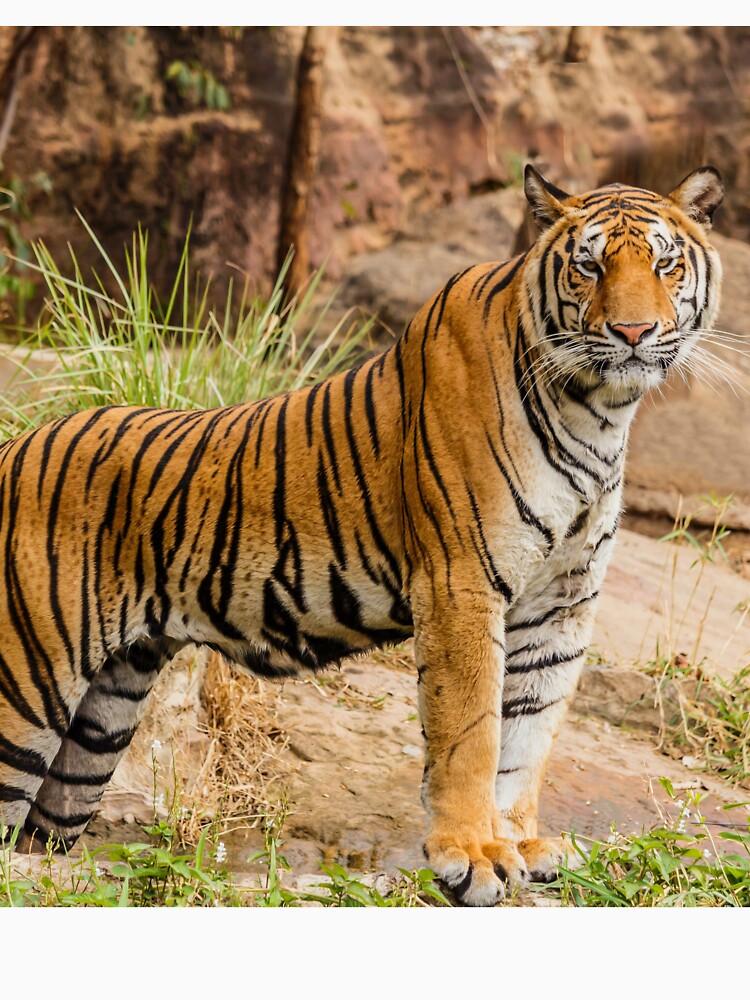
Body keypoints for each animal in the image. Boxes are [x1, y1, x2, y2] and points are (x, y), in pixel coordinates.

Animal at [0, 164, 723, 905]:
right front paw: (473, 856)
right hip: (25, 682)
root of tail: (12, 447)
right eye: (588, 266)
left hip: (103, 717)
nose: (633, 331)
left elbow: (529, 735)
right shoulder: (462, 583)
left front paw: (520, 843)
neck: (598, 412)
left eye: (665, 264)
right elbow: (473, 732)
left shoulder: (562, 604)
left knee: (41, 833)